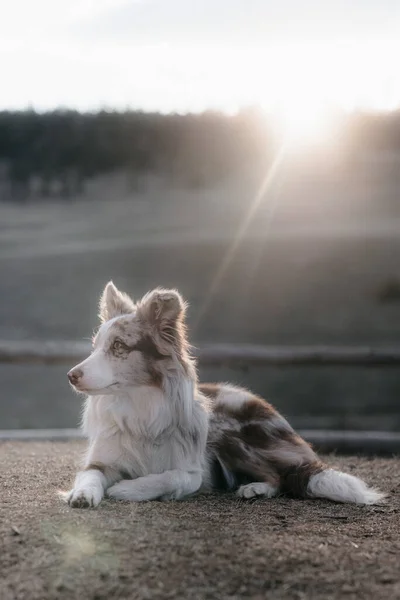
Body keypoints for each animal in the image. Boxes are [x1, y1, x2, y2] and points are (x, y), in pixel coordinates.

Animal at [64, 282, 386, 506]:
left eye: (118, 346)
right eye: (95, 347)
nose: (71, 375)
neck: (137, 406)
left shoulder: (192, 470)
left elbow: (171, 476)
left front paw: (126, 488)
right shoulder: (100, 461)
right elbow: (89, 475)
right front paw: (82, 494)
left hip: (229, 432)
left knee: (280, 477)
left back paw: (255, 488)